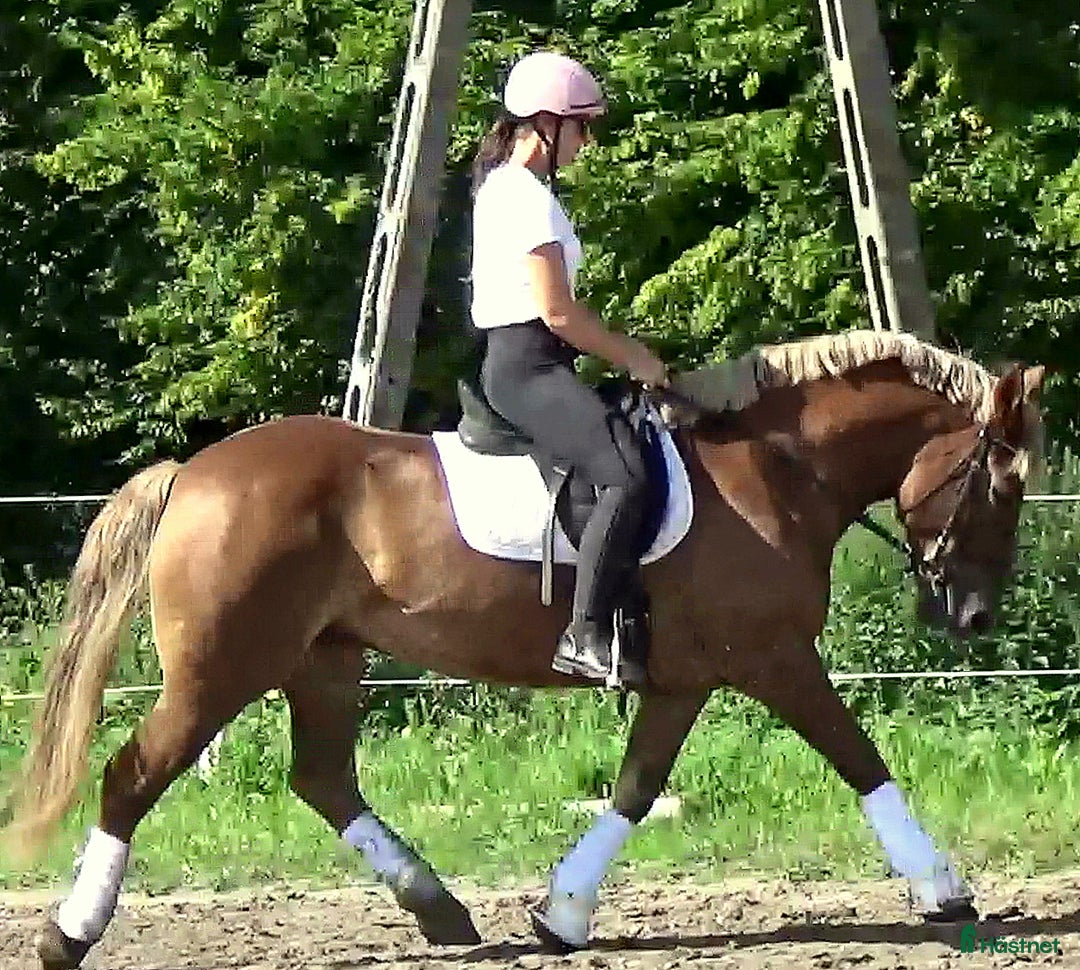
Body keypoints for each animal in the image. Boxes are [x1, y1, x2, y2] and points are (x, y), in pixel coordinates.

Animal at [1, 329, 1046, 968]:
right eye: (1002, 483)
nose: (972, 616)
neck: (772, 471)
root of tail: (194, 473)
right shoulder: (774, 658)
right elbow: (861, 759)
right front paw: (947, 893)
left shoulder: (685, 679)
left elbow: (635, 788)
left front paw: (562, 914)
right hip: (224, 668)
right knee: (134, 776)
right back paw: (68, 934)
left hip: (324, 659)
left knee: (323, 778)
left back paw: (439, 910)